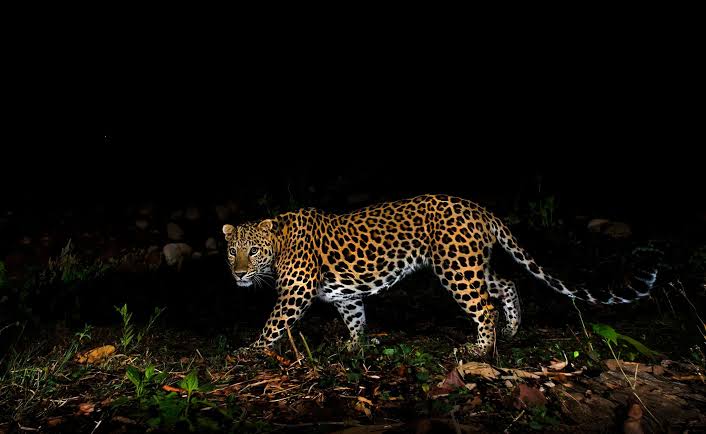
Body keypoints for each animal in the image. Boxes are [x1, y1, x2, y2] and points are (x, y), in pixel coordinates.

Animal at [222, 194, 657, 356]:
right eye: (231, 251)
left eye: (253, 251)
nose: (238, 273)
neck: (279, 244)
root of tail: (481, 209)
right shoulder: (347, 296)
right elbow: (356, 318)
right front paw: (355, 346)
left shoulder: (294, 293)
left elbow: (272, 325)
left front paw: (248, 353)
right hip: (471, 263)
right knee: (507, 284)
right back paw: (512, 330)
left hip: (456, 269)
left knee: (484, 307)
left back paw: (480, 349)